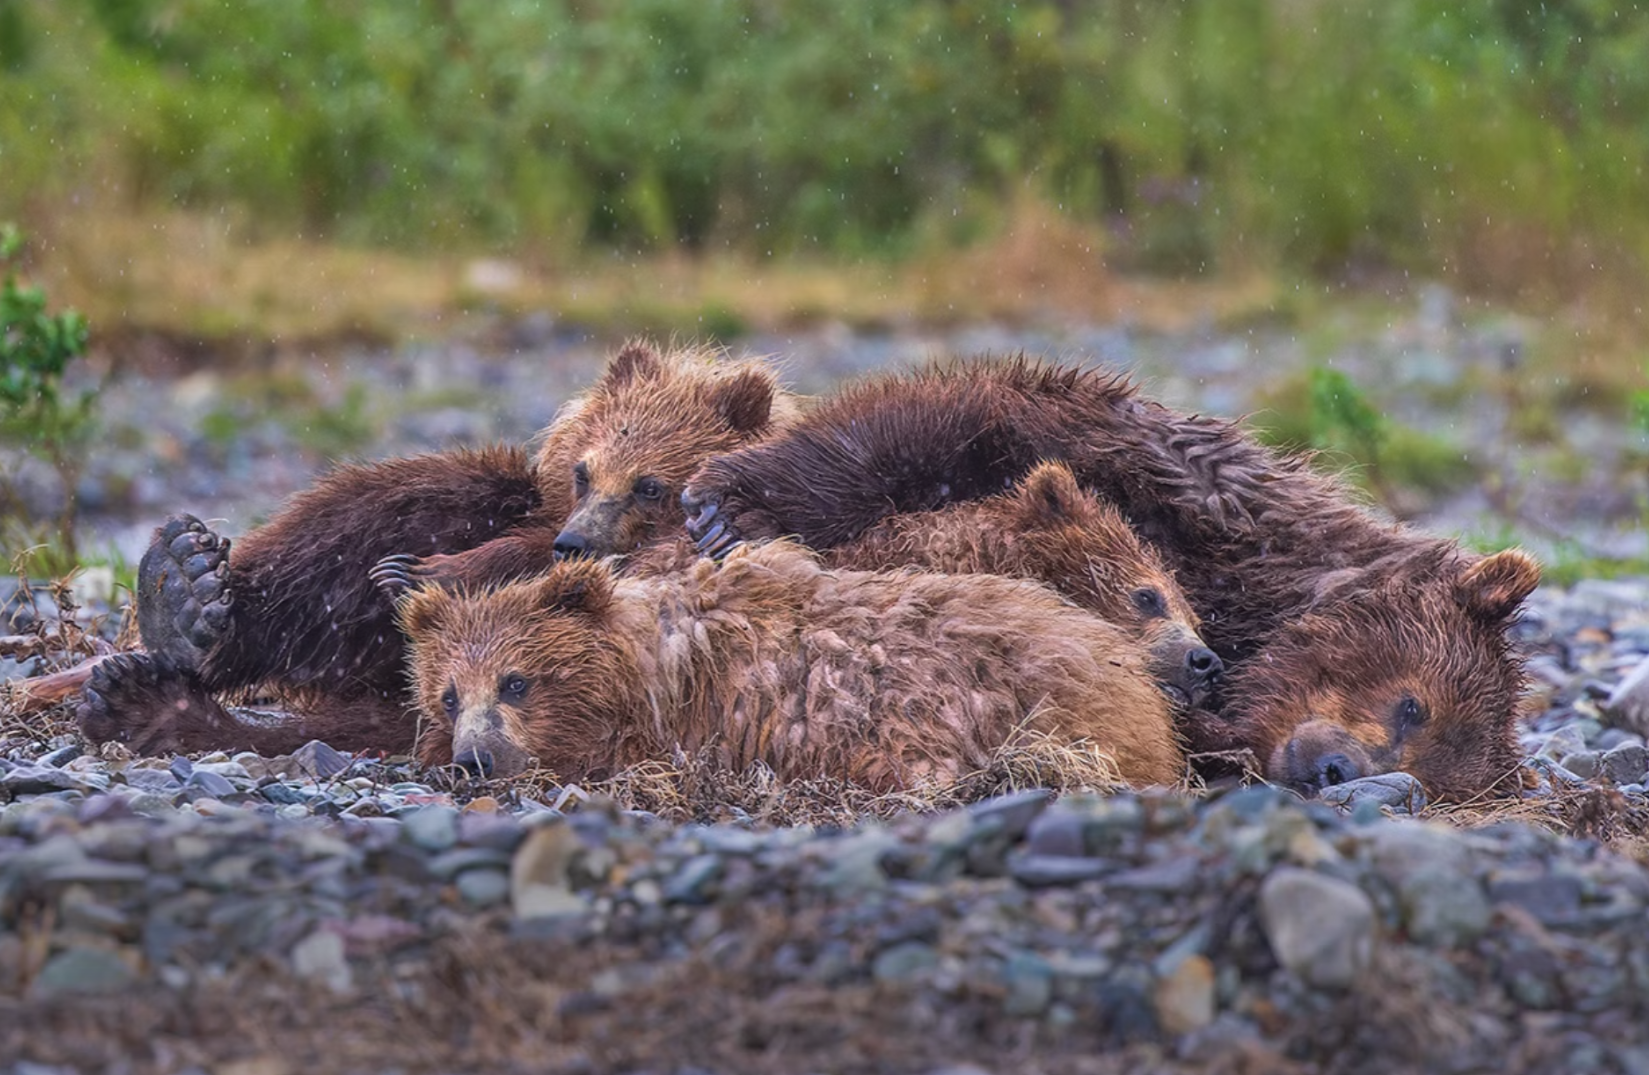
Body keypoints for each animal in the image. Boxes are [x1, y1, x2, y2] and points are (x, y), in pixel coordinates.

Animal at [74, 341, 798, 758]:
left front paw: (428, 572)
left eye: (651, 484)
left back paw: (150, 703)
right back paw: (184, 592)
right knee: (375, 511)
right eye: (583, 472)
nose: (575, 541)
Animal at [677, 355, 1541, 801]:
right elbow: (923, 428)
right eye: (1412, 703)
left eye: (1434, 778)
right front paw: (728, 507)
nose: (1335, 771)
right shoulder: (1169, 477)